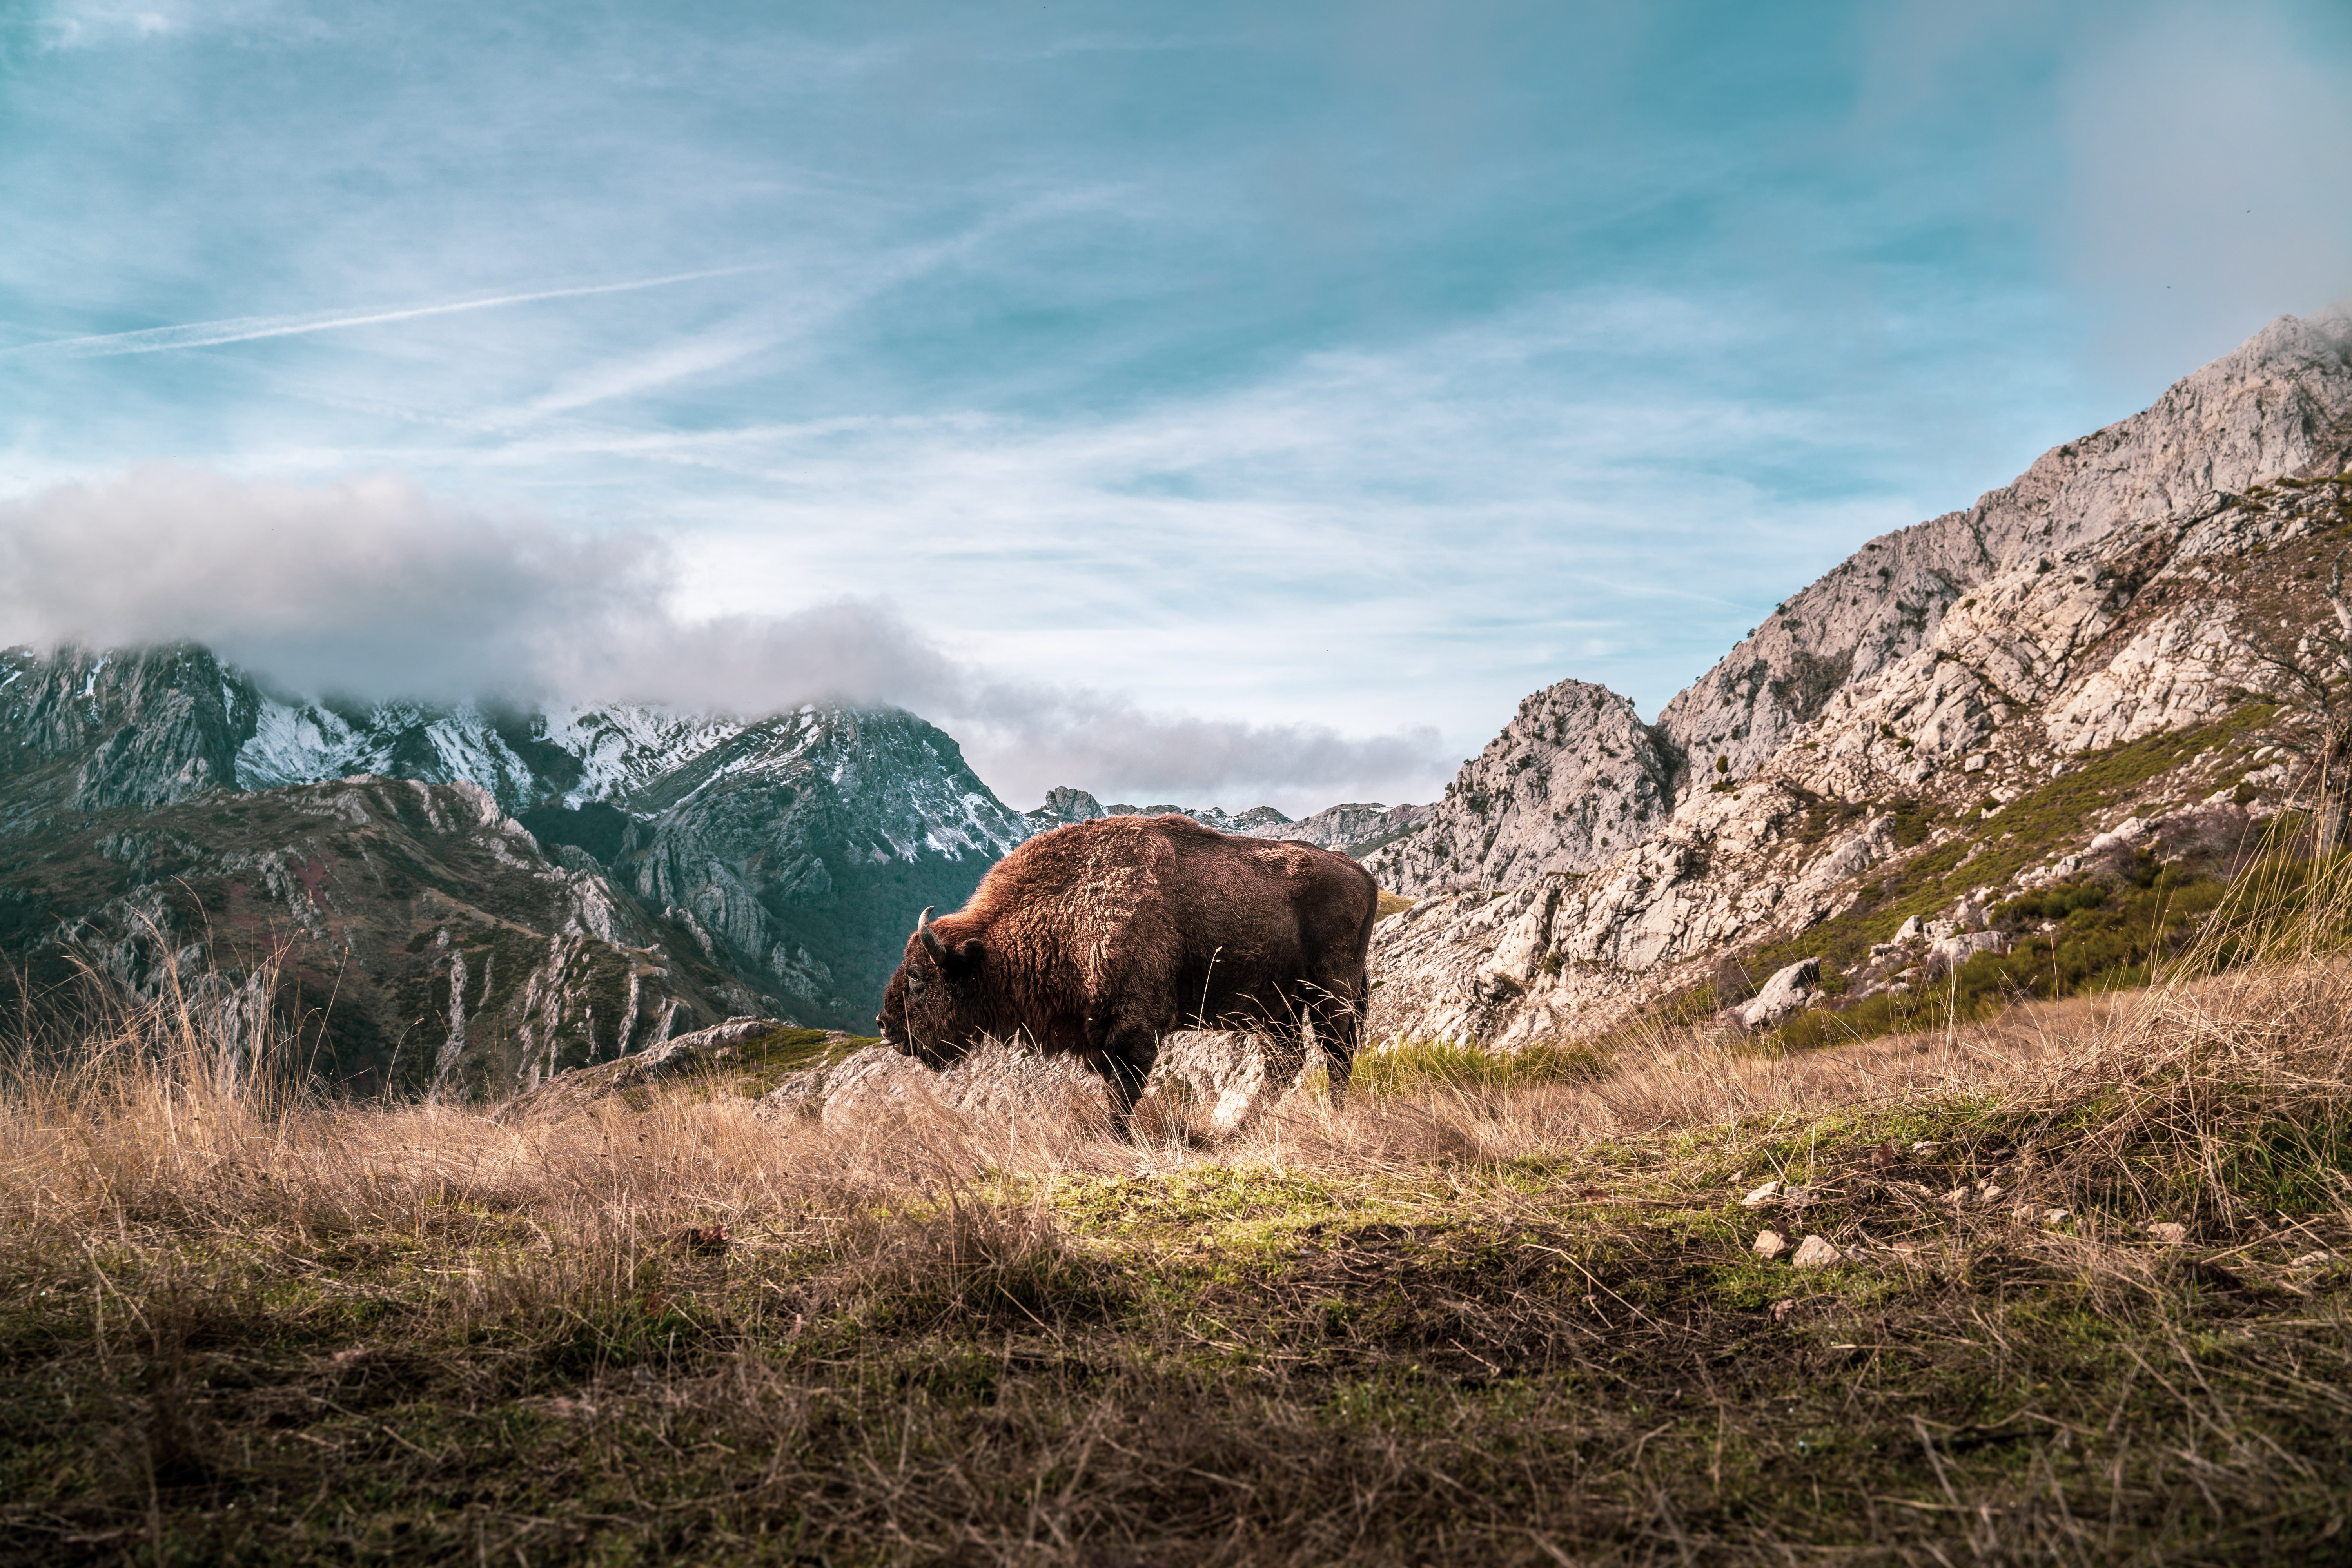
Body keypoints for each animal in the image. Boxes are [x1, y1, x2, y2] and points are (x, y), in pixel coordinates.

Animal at [880, 818, 1374, 1133]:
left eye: (919, 976)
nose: (886, 1026)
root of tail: (1358, 871)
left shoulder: (1134, 1028)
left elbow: (1124, 1091)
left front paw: (1115, 1137)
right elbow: (1115, 1087)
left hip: (1330, 991)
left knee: (1336, 1052)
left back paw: (1332, 1116)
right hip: (1275, 1008)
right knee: (1287, 1061)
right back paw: (1238, 1130)